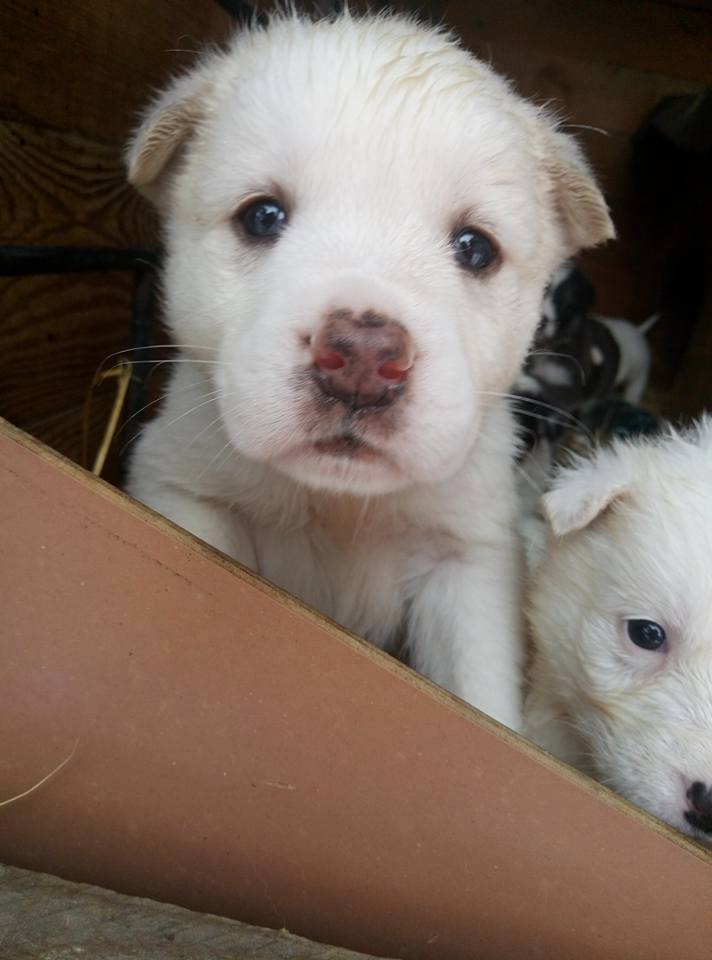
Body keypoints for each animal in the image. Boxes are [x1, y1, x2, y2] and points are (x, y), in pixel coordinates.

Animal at [124, 11, 612, 728]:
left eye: (476, 248)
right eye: (262, 216)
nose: (361, 354)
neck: (340, 505)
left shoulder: (467, 564)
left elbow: (481, 697)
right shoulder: (186, 492)